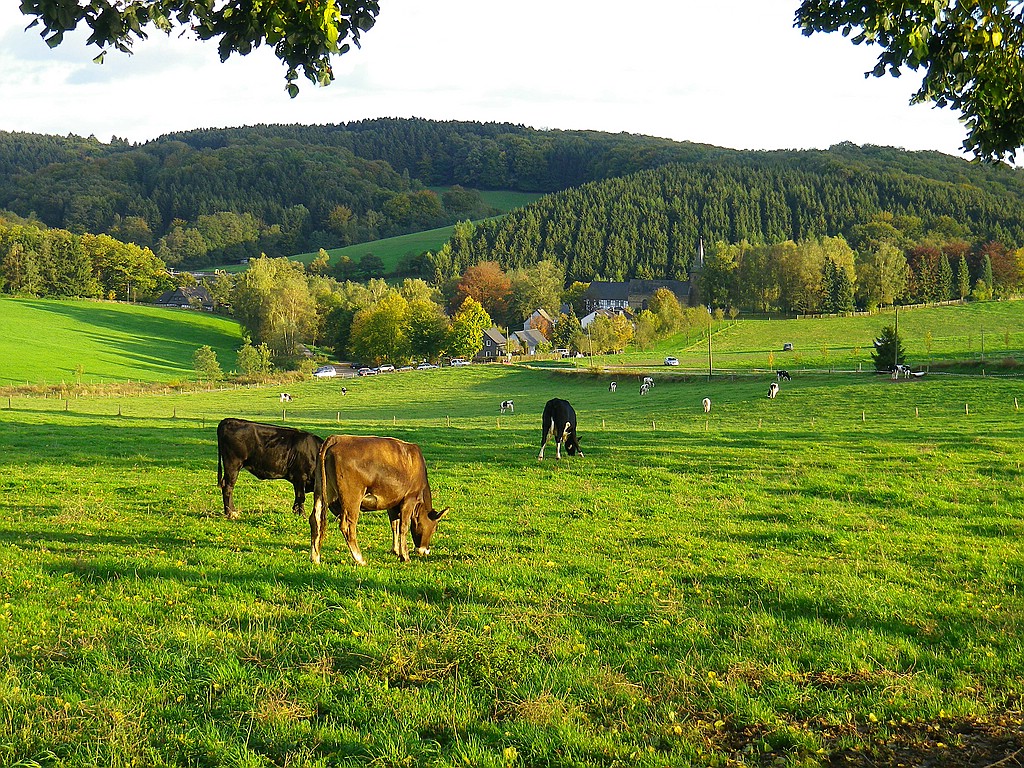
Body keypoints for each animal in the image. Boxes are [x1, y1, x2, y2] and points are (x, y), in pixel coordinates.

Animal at [307, 436, 444, 569]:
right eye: (434, 528)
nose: (425, 551)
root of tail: (336, 438)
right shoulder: (409, 499)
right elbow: (403, 527)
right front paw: (405, 556)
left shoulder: (393, 503)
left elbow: (394, 525)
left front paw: (396, 551)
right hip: (352, 497)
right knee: (347, 526)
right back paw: (360, 559)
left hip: (321, 491)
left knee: (315, 519)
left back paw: (315, 558)